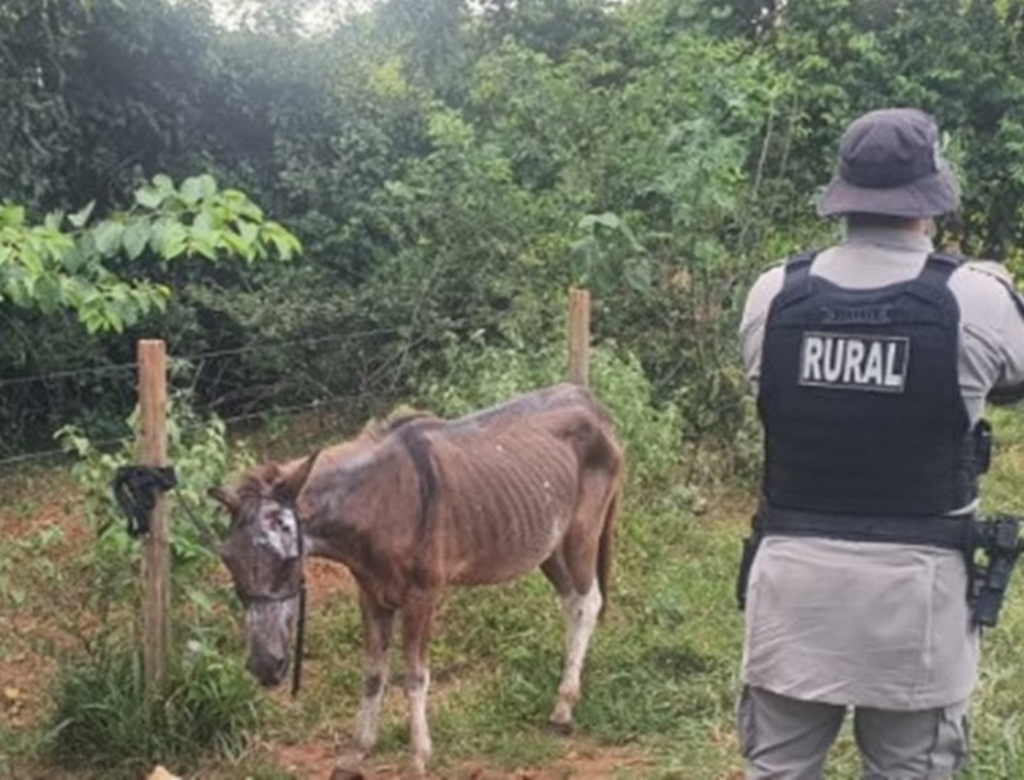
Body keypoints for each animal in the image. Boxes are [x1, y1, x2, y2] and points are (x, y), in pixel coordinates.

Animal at [209, 383, 625, 775]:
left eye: (289, 560)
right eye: (228, 559)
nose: (264, 667)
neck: (380, 504)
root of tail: (590, 401)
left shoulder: (422, 596)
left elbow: (414, 676)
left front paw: (419, 757)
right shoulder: (371, 594)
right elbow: (373, 674)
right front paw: (356, 753)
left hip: (581, 531)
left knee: (587, 602)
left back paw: (564, 707)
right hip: (547, 545)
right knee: (571, 602)